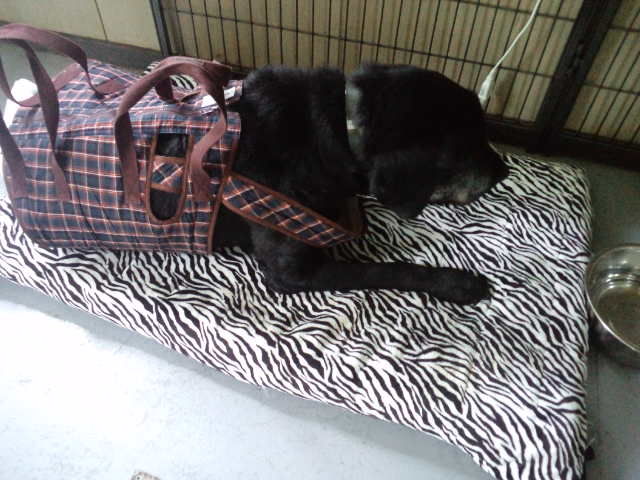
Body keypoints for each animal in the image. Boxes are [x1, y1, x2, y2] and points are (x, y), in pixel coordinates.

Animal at [150, 64, 508, 305]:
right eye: (468, 147)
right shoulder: (292, 271)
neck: (338, 131)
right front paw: (457, 283)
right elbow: (386, 269)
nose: (504, 172)